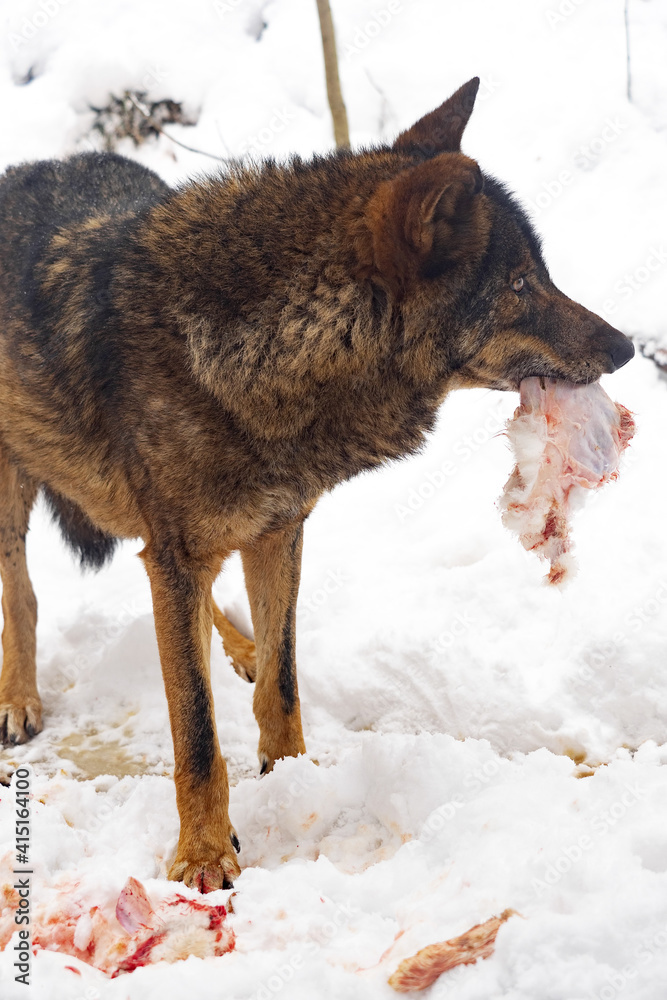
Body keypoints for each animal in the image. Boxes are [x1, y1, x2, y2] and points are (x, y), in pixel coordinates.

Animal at [0, 78, 634, 890]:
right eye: (521, 284)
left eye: (543, 274)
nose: (626, 346)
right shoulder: (179, 552)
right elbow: (195, 731)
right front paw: (203, 854)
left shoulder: (277, 531)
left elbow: (281, 685)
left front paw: (294, 777)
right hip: (15, 488)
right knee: (23, 588)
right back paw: (20, 697)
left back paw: (234, 648)